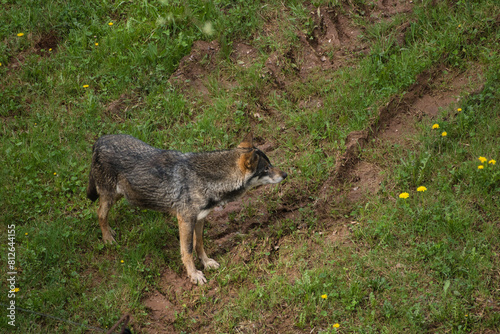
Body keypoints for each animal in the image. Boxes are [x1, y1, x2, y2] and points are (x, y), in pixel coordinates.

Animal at [88, 133, 288, 284]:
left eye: (271, 164)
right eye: (266, 168)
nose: (285, 174)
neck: (206, 180)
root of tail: (100, 141)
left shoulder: (200, 218)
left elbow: (199, 243)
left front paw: (206, 263)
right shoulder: (185, 220)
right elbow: (188, 250)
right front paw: (194, 275)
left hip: (120, 195)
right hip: (109, 196)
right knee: (100, 214)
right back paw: (108, 239)